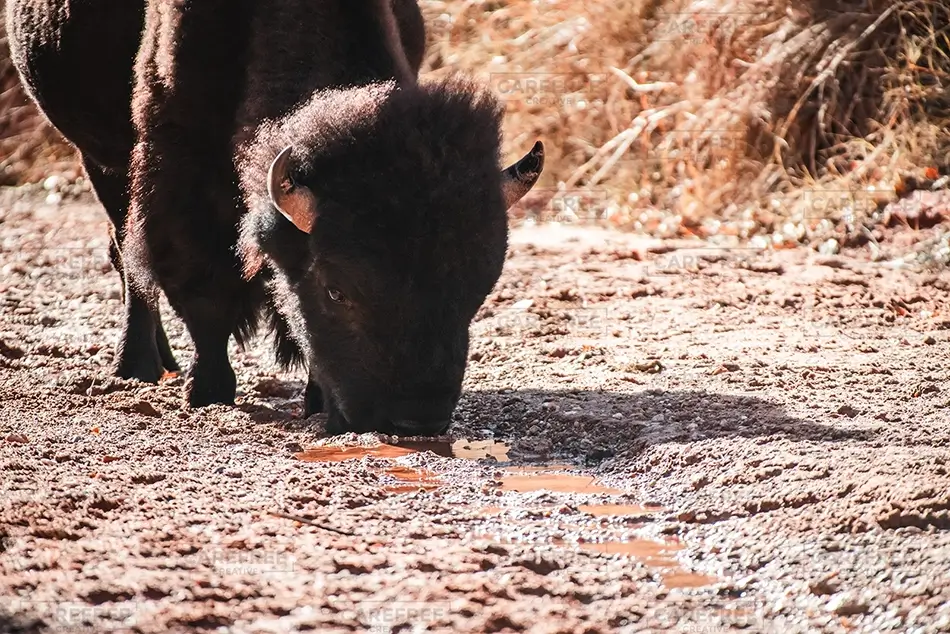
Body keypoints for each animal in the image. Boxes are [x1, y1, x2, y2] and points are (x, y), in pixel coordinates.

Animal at [6, 0, 543, 435]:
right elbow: (204, 293)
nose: (416, 420)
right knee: (127, 256)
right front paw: (208, 391)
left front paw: (315, 397)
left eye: (478, 289)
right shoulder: (181, 180)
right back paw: (137, 365)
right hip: (101, 159)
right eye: (337, 290)